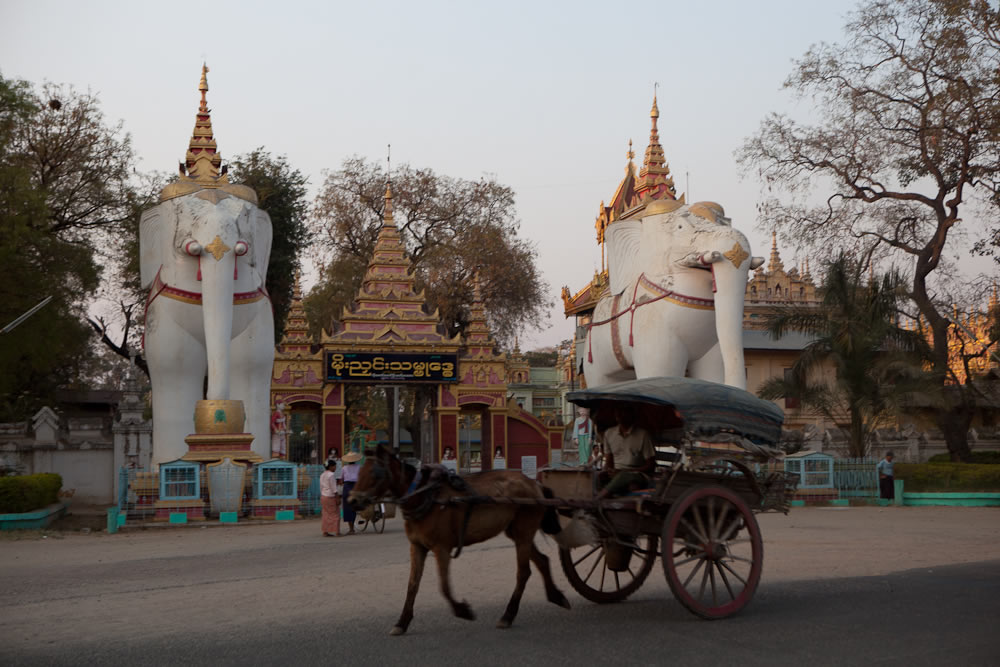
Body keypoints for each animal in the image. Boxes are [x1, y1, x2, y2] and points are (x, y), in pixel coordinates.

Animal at [350, 446, 572, 636]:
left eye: (375, 474)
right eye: (359, 472)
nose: (352, 501)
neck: (425, 497)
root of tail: (534, 483)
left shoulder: (441, 548)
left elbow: (444, 586)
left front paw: (462, 610)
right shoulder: (417, 547)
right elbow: (413, 584)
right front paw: (402, 622)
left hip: (524, 532)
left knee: (524, 572)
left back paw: (508, 615)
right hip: (517, 533)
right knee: (542, 561)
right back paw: (556, 596)